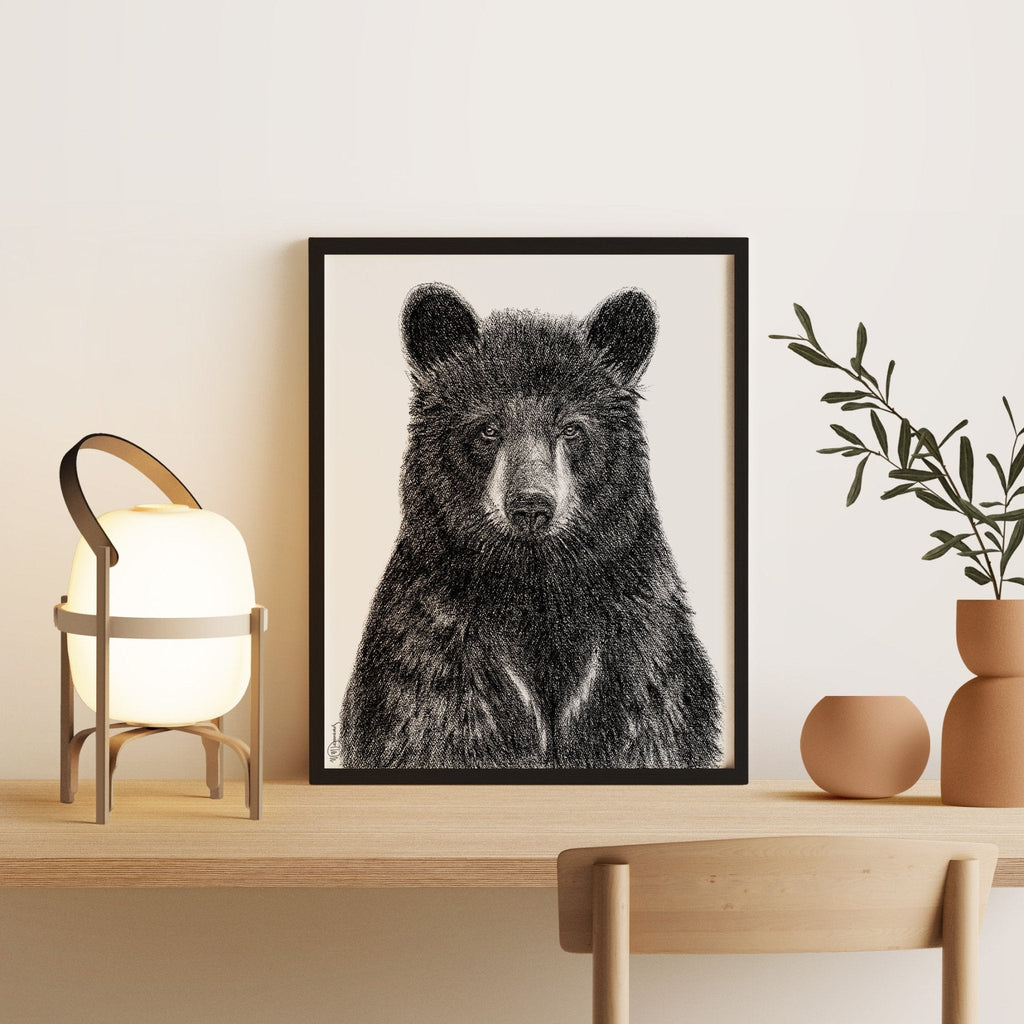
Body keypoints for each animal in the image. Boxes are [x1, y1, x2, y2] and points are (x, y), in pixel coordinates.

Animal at [339, 282, 721, 770]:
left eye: (572, 428)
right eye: (487, 428)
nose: (531, 506)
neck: (534, 588)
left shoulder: (638, 657)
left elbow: (653, 724)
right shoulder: (436, 658)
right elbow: (435, 726)